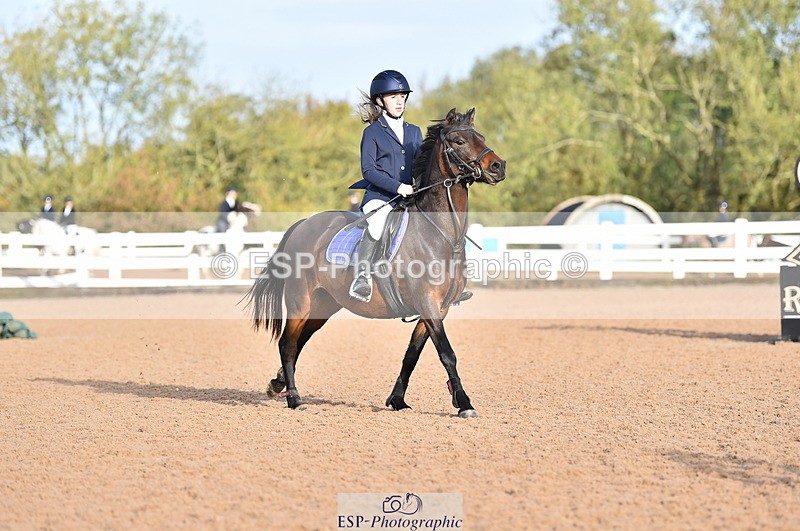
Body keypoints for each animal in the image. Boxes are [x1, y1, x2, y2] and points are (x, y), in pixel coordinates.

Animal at [247, 108, 506, 418]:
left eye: (482, 137)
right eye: (458, 141)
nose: (498, 166)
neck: (441, 235)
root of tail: (304, 224)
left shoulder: (437, 310)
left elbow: (411, 355)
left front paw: (397, 400)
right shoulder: (428, 304)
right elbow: (447, 354)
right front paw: (464, 404)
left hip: (324, 305)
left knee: (299, 342)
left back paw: (278, 384)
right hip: (300, 301)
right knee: (287, 343)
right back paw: (295, 398)